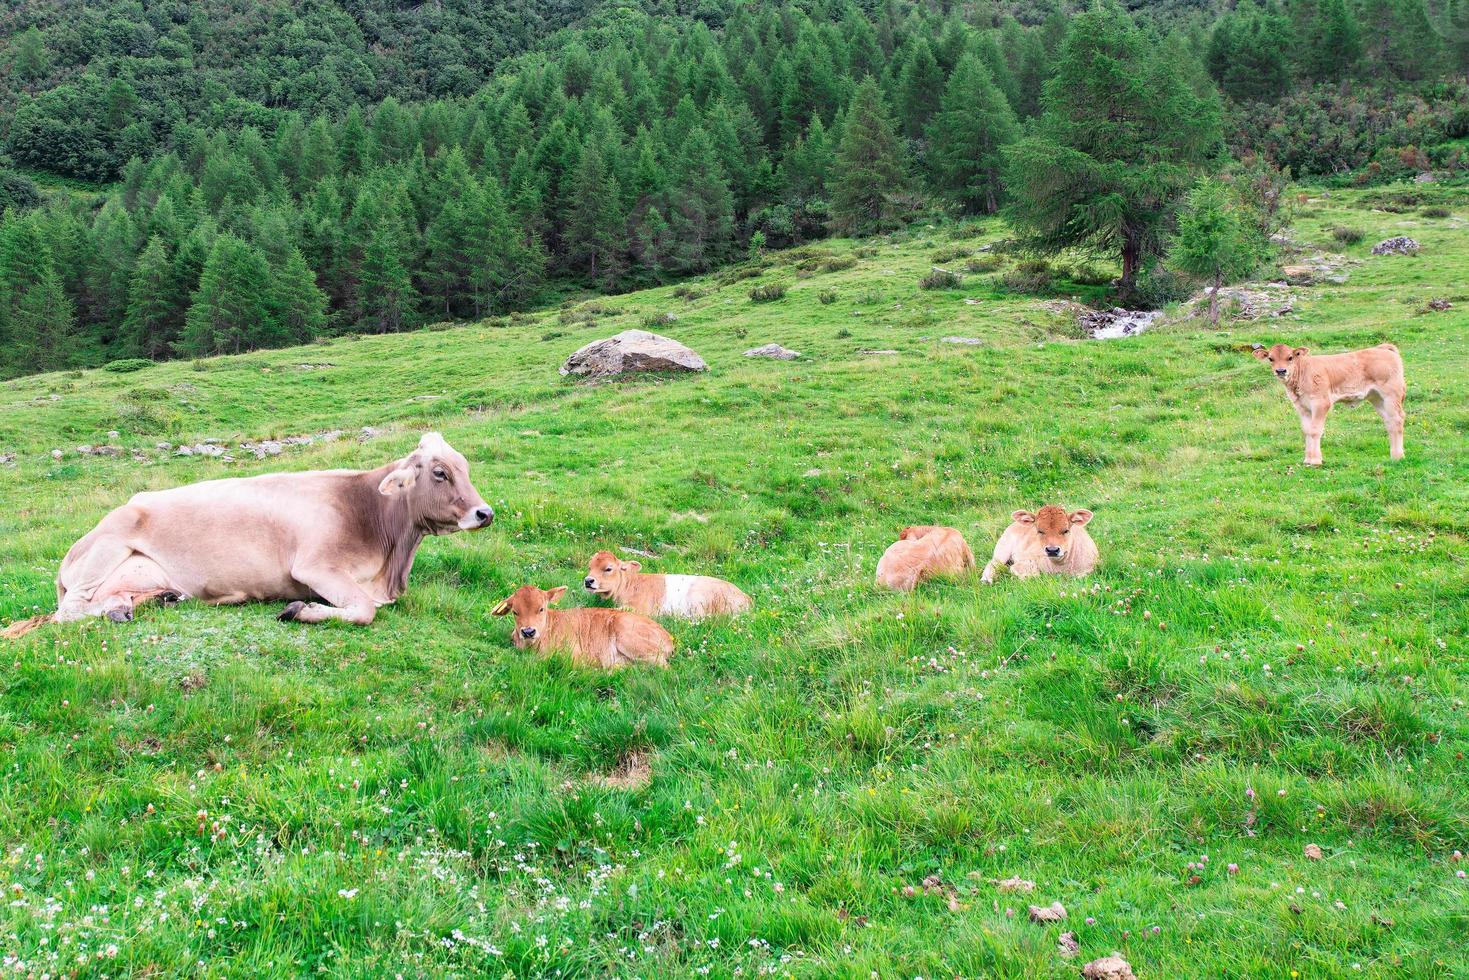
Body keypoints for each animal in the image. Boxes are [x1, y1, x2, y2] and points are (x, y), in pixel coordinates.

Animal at [1, 431, 493, 640]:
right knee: (68, 611)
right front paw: (299, 610)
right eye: (439, 472)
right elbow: (364, 611)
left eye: (466, 467)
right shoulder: (315, 566)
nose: (485, 513)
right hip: (108, 544)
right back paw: (116, 611)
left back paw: (146, 602)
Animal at [1251, 343, 1410, 467]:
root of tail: (1382, 348)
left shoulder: (1321, 403)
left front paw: (1315, 461)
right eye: (1270, 358)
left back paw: (1398, 456)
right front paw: (1307, 460)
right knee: (1389, 421)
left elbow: (1315, 430)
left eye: (1290, 357)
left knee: (1397, 419)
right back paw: (1393, 455)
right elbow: (1307, 431)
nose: (1281, 371)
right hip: (1376, 397)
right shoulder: (1302, 407)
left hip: (1391, 394)